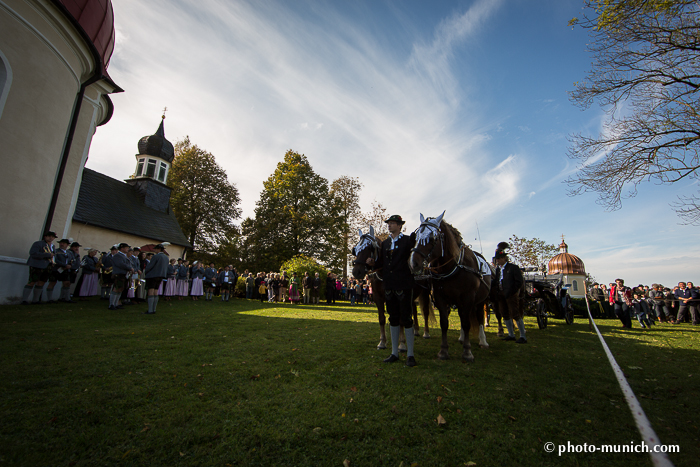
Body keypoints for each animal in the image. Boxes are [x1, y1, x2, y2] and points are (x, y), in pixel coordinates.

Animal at [408, 212, 490, 362]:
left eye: (432, 238)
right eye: (415, 238)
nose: (413, 263)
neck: (454, 266)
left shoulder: (468, 297)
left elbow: (467, 323)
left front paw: (467, 352)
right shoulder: (440, 297)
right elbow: (444, 323)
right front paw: (443, 351)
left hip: (481, 301)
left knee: (479, 317)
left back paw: (483, 340)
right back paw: (462, 338)